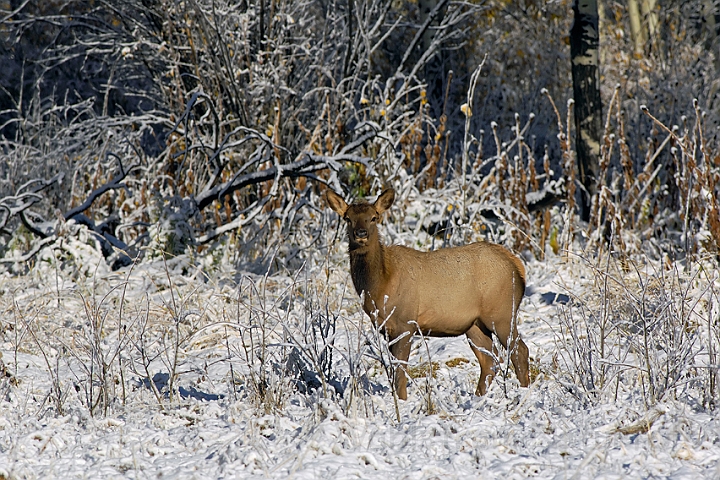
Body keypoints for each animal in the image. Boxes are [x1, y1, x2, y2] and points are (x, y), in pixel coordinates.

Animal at [326, 189, 528, 400]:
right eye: (348, 218)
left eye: (374, 217)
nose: (361, 234)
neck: (380, 285)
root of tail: (518, 267)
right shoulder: (386, 328)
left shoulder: (406, 322)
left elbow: (400, 370)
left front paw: (402, 400)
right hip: (474, 324)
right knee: (490, 361)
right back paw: (478, 397)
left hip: (502, 313)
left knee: (519, 351)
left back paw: (523, 392)